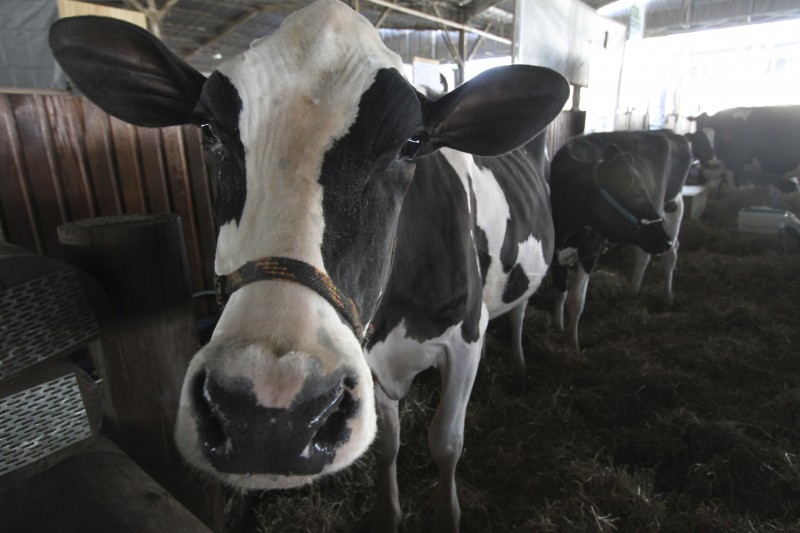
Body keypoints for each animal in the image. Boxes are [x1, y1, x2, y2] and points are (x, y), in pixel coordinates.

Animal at [48, 2, 568, 528]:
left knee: (521, 307)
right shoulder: (368, 357)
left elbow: (446, 442)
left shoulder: (467, 335)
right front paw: (386, 514)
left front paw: (446, 517)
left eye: (412, 143)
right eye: (208, 129)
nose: (269, 415)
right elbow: (387, 444)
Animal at [548, 131, 692, 352]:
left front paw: (573, 345)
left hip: (673, 205)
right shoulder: (555, 250)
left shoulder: (592, 248)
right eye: (636, 193)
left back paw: (668, 298)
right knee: (643, 254)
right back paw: (632, 291)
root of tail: (673, 134)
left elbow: (576, 300)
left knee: (672, 254)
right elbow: (560, 291)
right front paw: (558, 326)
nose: (664, 241)